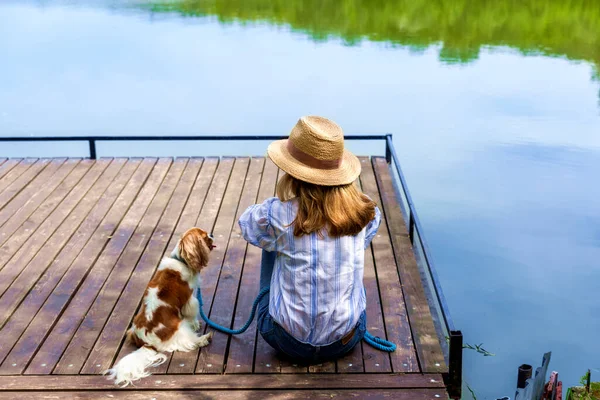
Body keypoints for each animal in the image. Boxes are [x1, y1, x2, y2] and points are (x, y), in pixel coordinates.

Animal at [105, 227, 216, 386]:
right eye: (206, 236)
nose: (212, 234)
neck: (181, 259)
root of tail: (147, 343)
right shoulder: (189, 300)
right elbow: (192, 313)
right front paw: (195, 324)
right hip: (179, 327)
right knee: (189, 342)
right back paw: (204, 339)